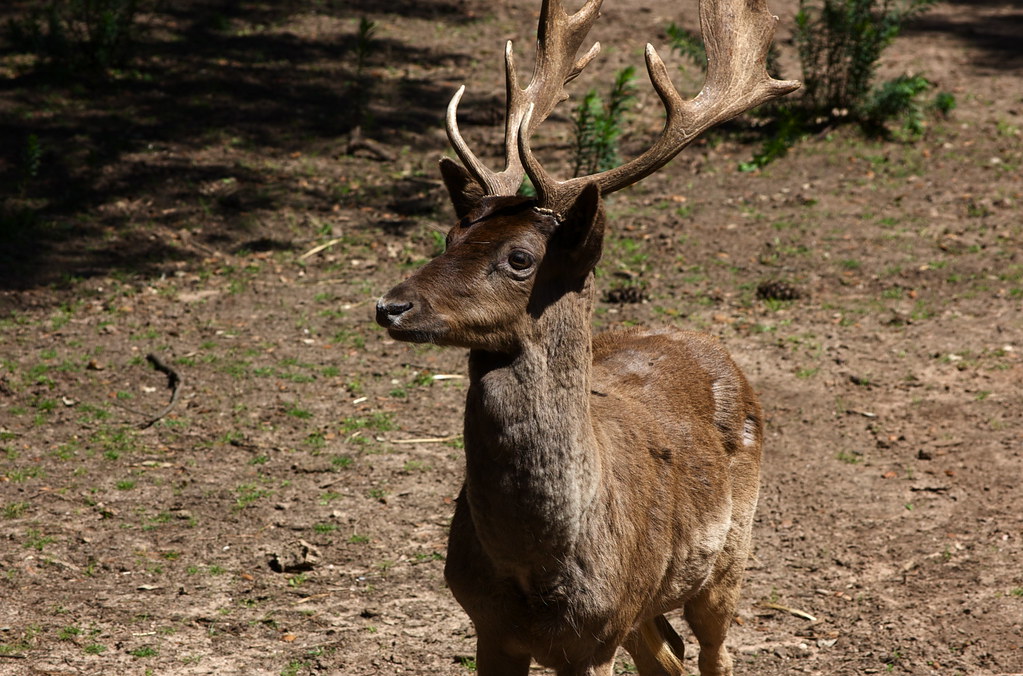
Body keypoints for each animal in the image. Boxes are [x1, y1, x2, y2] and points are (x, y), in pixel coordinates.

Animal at [375, 0, 798, 673]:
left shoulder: (596, 635)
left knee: (714, 651)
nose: (391, 305)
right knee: (667, 652)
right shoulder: (487, 628)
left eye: (521, 258)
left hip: (730, 554)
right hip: (644, 605)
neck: (535, 573)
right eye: (448, 236)